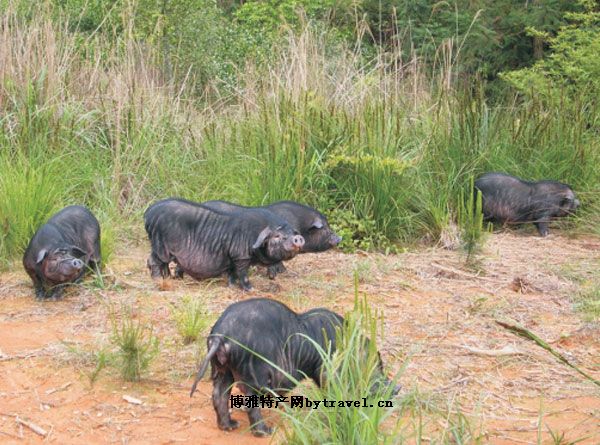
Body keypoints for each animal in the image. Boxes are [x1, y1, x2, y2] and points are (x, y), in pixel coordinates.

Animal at [143, 197, 304, 288]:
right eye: (277, 236)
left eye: (293, 233)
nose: (298, 238)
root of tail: (148, 212)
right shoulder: (240, 255)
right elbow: (243, 273)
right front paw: (250, 288)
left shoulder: (232, 256)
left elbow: (233, 272)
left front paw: (231, 286)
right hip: (161, 243)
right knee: (153, 260)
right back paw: (159, 280)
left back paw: (168, 278)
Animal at [190, 296, 400, 436]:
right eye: (379, 365)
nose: (397, 387)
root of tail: (221, 335)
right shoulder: (326, 369)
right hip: (254, 372)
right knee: (250, 401)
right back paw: (265, 431)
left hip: (221, 369)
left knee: (219, 394)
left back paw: (230, 426)